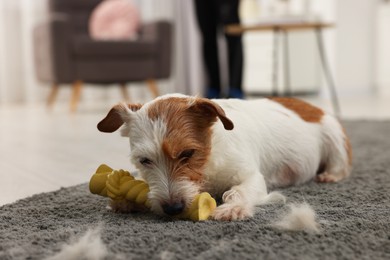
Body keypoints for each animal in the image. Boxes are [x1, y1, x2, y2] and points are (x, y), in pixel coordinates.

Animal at [98, 94, 354, 220]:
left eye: (187, 153)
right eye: (144, 161)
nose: (173, 208)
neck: (209, 161)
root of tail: (309, 105)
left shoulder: (251, 177)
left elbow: (241, 190)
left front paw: (233, 207)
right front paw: (126, 200)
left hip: (335, 138)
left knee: (340, 165)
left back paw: (330, 175)